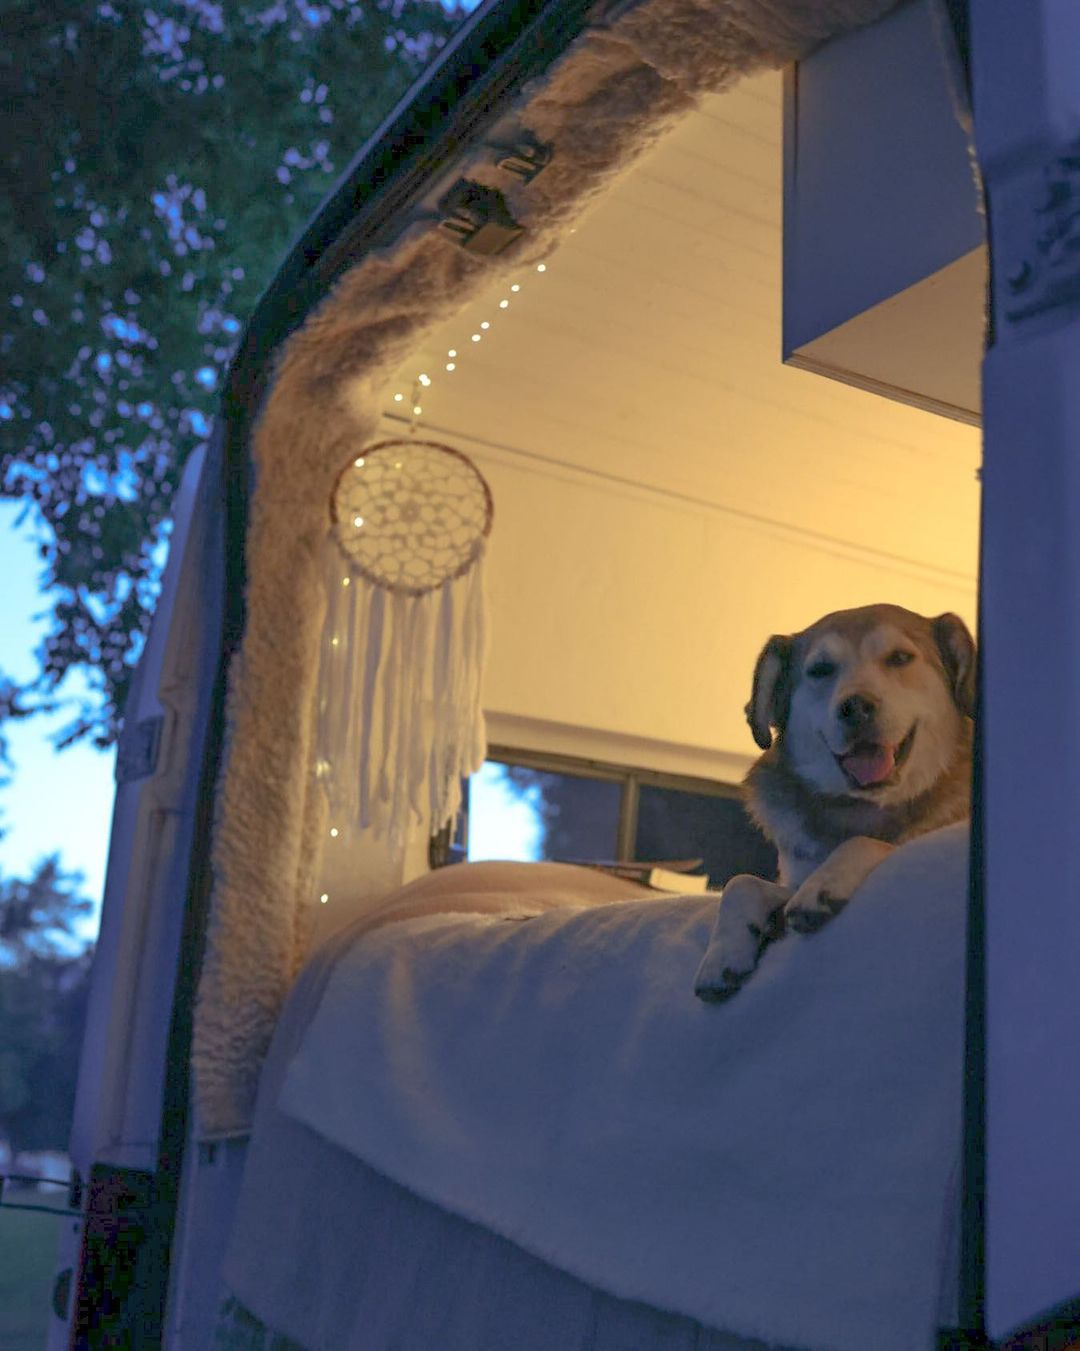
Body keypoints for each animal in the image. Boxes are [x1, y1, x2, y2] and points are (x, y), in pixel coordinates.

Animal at [697, 607, 973, 999]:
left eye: (900, 658)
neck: (856, 809)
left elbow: (866, 842)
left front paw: (823, 885)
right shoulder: (790, 876)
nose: (855, 707)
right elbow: (740, 883)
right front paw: (720, 958)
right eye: (820, 670)